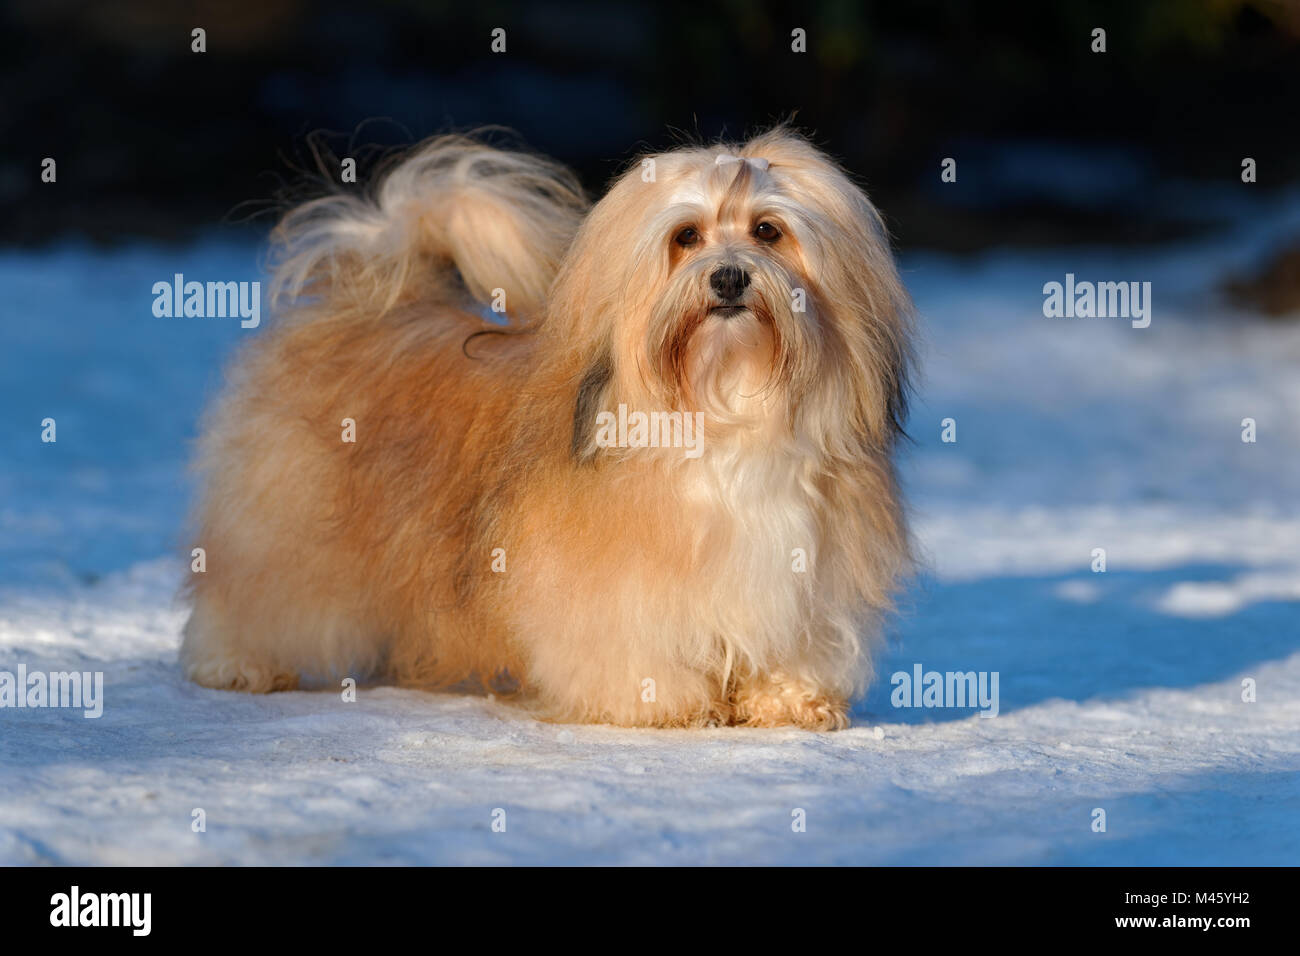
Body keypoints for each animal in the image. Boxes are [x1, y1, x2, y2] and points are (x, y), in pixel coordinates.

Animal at [180, 125, 915, 723]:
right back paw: (235, 662)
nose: (730, 278)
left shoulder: (808, 580)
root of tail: (376, 294)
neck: (725, 414)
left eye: (768, 231)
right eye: (686, 237)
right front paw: (660, 700)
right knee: (253, 588)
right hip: (289, 523)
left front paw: (789, 699)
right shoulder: (611, 586)